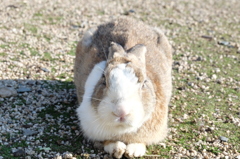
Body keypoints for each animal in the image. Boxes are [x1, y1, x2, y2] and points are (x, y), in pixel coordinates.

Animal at [74, 16, 172, 158]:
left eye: (144, 83)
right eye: (104, 79)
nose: (121, 111)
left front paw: (133, 151)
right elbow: (107, 141)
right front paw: (117, 149)